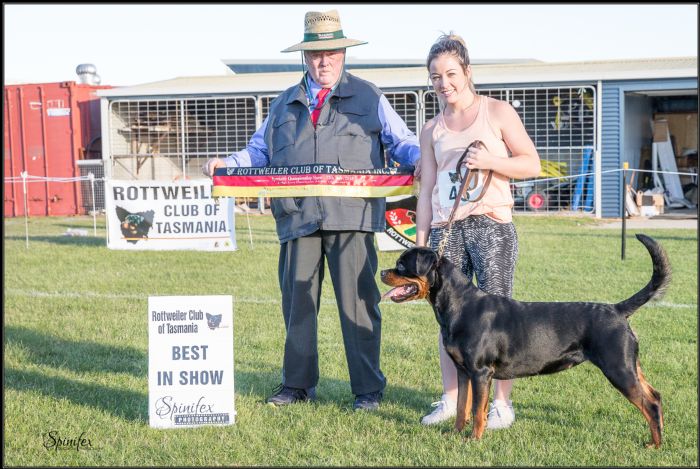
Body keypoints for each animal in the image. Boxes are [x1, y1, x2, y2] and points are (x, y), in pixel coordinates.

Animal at [380, 234, 670, 448]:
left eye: (402, 265)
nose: (382, 272)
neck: (459, 305)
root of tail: (617, 310)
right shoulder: (463, 371)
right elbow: (462, 406)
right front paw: (455, 434)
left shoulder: (481, 372)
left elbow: (477, 410)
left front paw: (473, 440)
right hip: (630, 366)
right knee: (655, 396)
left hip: (618, 368)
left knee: (649, 403)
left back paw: (654, 445)